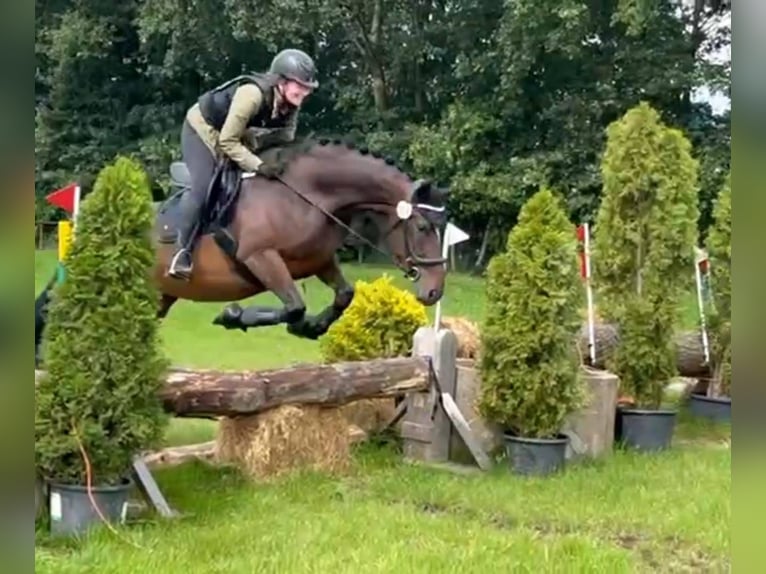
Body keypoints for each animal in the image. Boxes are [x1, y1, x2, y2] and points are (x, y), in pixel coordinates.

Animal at [34, 137, 449, 364]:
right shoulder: (260, 258)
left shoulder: (317, 261)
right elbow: (292, 306)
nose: (434, 291)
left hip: (158, 296)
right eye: (423, 227)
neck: (309, 196)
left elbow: (342, 295)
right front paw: (232, 315)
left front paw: (312, 328)